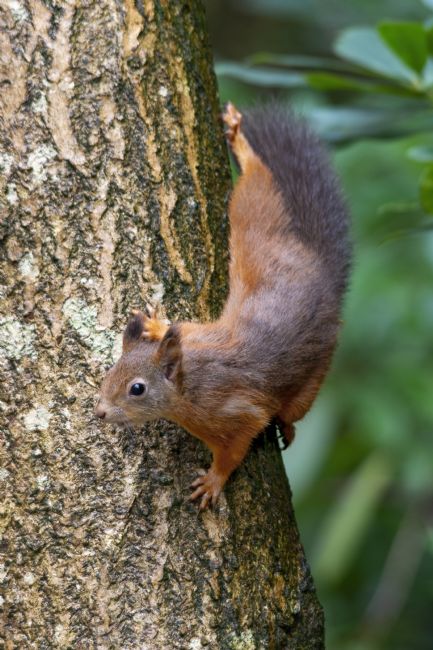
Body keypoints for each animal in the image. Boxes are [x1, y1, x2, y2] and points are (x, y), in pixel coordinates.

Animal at [95, 102, 351, 509]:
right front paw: (154, 326)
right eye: (113, 367)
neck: (191, 381)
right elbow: (184, 325)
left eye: (137, 389)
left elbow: (235, 448)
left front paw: (213, 482)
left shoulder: (237, 413)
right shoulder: (199, 334)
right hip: (261, 244)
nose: (100, 411)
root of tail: (322, 276)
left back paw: (242, 145)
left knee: (259, 183)